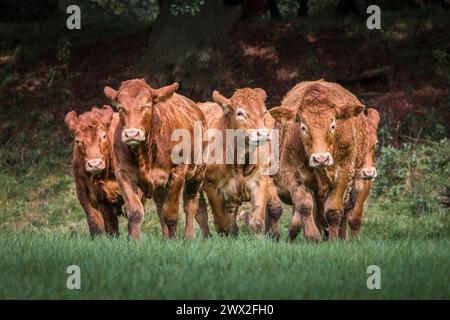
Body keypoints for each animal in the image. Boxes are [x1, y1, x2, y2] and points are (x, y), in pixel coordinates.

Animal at [103, 79, 206, 240]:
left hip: (198, 171)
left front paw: (174, 241)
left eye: (146, 106)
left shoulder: (177, 173)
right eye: (120, 107)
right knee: (159, 205)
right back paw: (165, 238)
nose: (132, 134)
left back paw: (188, 236)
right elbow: (135, 211)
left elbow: (171, 214)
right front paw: (134, 240)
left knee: (190, 202)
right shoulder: (122, 173)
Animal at [268, 79, 370, 240]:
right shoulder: (290, 169)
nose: (320, 158)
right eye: (303, 127)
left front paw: (334, 241)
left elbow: (333, 211)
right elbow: (304, 205)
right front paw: (312, 236)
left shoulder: (345, 171)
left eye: (333, 125)